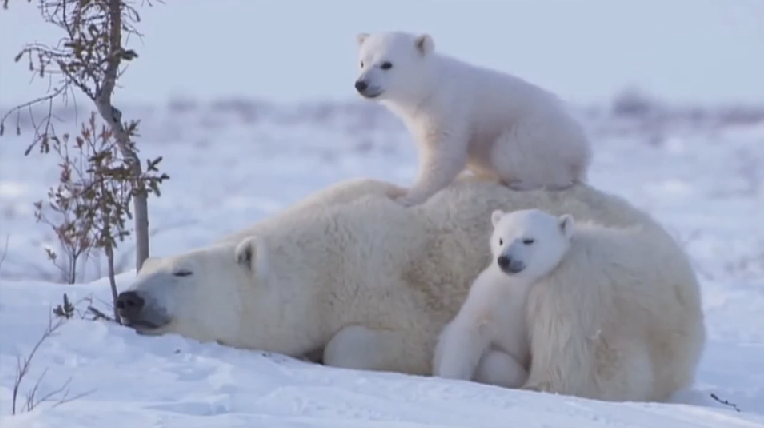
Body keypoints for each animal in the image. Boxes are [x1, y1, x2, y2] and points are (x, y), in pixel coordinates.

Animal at [356, 31, 592, 207]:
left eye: (386, 64)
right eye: (362, 62)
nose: (361, 84)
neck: (430, 86)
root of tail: (583, 152)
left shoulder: (448, 110)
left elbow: (443, 155)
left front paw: (407, 197)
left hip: (536, 134)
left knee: (511, 153)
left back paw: (520, 183)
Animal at [432, 209, 576, 390]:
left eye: (528, 240)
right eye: (501, 239)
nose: (504, 259)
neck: (517, 288)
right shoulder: (489, 297)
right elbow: (469, 330)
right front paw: (451, 379)